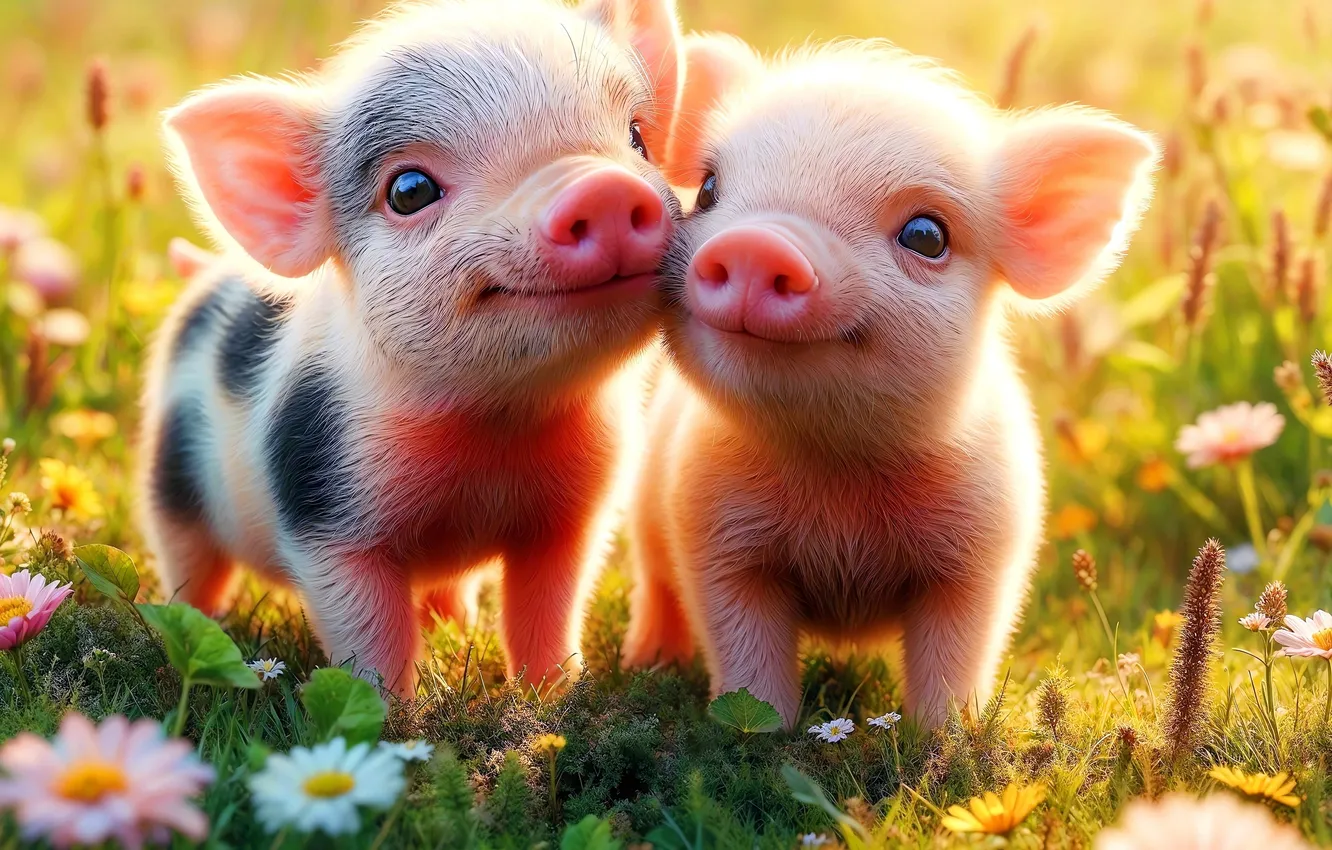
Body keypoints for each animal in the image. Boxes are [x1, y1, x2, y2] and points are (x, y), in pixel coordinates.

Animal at [138, 0, 686, 696]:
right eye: (410, 191)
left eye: (637, 137)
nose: (602, 187)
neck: (500, 426)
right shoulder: (323, 504)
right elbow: (370, 633)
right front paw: (392, 715)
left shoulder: (575, 511)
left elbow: (548, 608)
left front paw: (551, 699)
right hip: (172, 478)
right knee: (189, 564)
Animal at [623, 35, 1158, 726]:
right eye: (709, 190)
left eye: (927, 235)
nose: (756, 243)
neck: (838, 471)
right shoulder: (711, 532)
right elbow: (745, 650)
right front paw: (759, 732)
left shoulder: (986, 551)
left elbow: (955, 656)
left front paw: (948, 738)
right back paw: (648, 663)